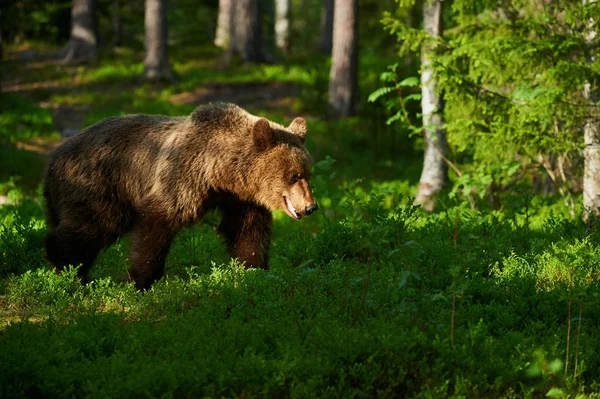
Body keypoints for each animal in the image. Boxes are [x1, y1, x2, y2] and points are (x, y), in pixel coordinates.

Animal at [44, 103, 316, 290]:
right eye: (293, 175)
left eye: (307, 173)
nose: (311, 207)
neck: (220, 173)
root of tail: (55, 157)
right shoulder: (182, 177)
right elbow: (156, 225)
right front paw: (139, 281)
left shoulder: (240, 199)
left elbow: (247, 232)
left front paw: (254, 271)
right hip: (100, 185)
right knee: (91, 226)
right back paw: (68, 270)